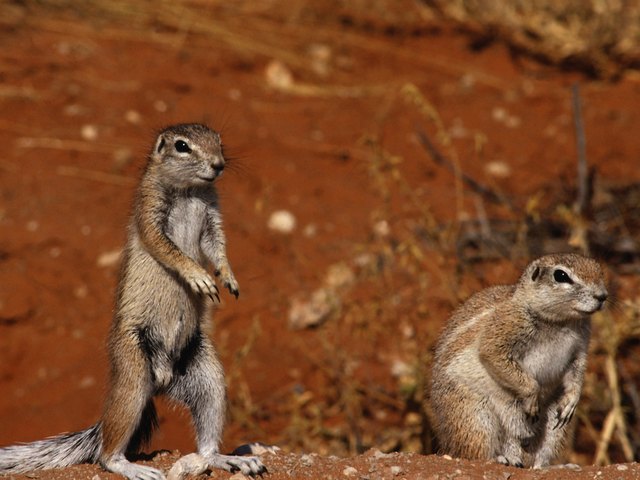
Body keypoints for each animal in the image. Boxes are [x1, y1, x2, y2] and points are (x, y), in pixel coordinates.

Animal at [0, 124, 268, 480]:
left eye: (219, 142)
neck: (190, 191)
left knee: (207, 441)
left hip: (207, 376)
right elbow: (168, 249)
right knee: (106, 452)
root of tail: (164, 381)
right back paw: (132, 467)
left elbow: (218, 248)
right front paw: (198, 276)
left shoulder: (213, 217)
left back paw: (230, 460)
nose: (219, 165)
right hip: (133, 372)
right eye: (182, 146)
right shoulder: (150, 211)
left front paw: (228, 277)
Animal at [430, 253, 604, 466]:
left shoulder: (579, 350)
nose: (602, 296)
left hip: (553, 425)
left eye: (598, 269)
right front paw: (532, 397)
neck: (561, 322)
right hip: (474, 414)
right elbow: (493, 354)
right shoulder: (505, 328)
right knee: (474, 452)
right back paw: (498, 459)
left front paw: (572, 400)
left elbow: (577, 373)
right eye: (561, 276)